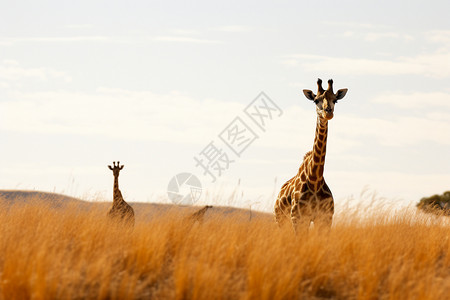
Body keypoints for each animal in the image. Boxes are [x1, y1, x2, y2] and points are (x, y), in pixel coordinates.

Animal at [274, 78, 348, 233]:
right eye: (315, 100)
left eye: (335, 100)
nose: (328, 113)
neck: (315, 180)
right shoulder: (298, 218)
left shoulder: (325, 218)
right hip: (281, 220)